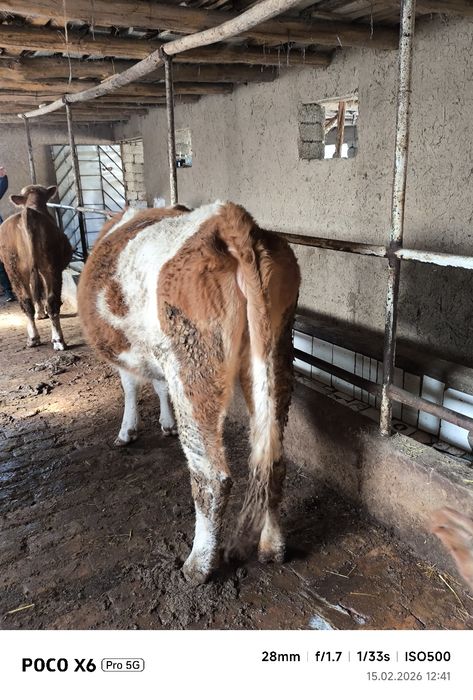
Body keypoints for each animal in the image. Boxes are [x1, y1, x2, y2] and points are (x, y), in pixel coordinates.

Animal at [0, 185, 73, 350]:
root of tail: (28, 213)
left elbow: (36, 289)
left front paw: (40, 312)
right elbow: (39, 289)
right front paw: (41, 312)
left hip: (15, 269)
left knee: (27, 302)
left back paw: (34, 338)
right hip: (51, 266)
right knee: (50, 301)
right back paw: (57, 340)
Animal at [78, 201, 301, 584]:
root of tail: (226, 219)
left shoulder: (128, 354)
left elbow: (130, 386)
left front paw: (128, 432)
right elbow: (157, 384)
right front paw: (166, 423)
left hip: (192, 362)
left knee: (212, 476)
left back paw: (198, 566)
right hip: (276, 347)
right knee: (272, 458)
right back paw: (272, 547)